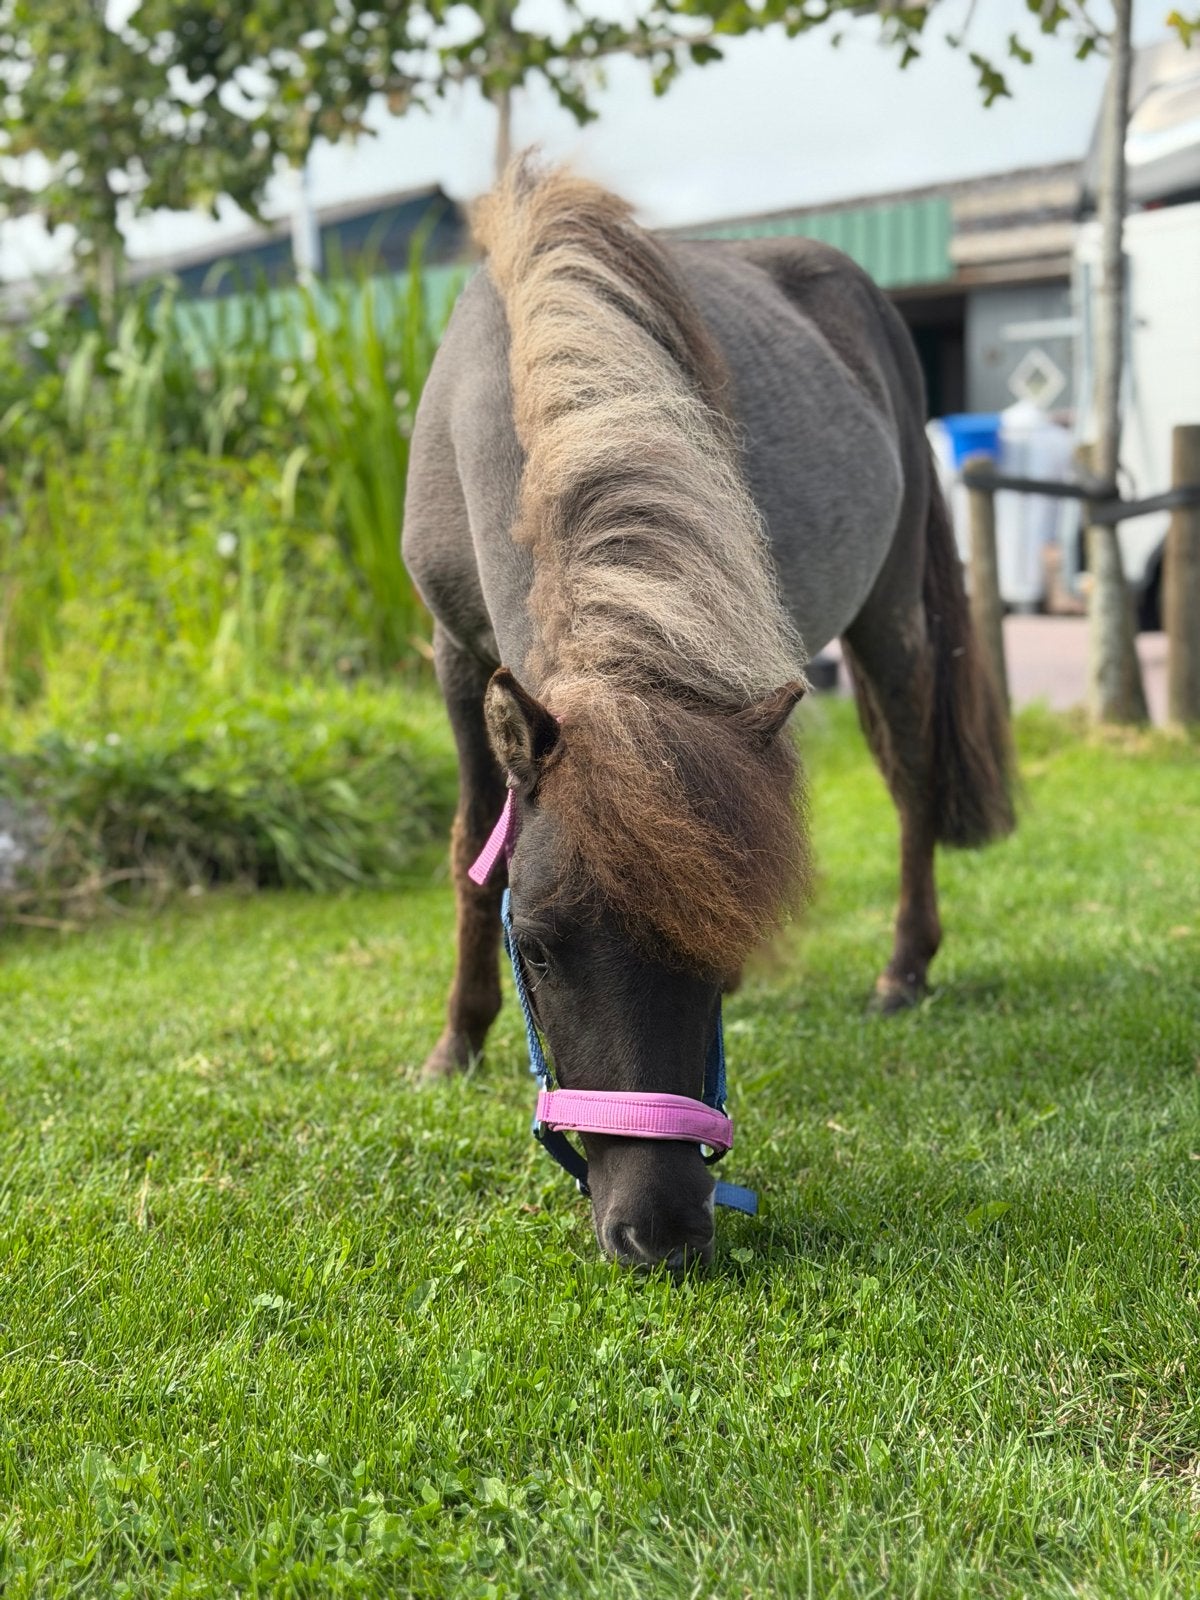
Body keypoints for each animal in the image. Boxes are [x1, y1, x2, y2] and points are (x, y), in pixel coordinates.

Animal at [401, 161, 1013, 1268]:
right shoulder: (454, 654)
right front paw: (455, 1041)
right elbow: (474, 845)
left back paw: (904, 970)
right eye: (538, 946)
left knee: (910, 780)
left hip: (891, 617)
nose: (662, 1227)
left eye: (718, 958)